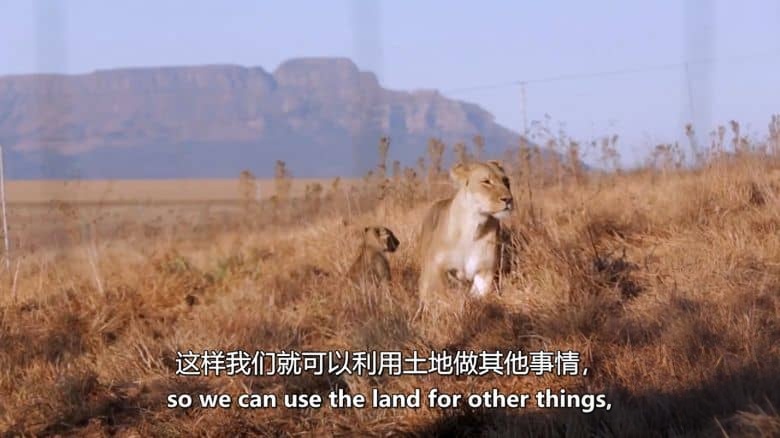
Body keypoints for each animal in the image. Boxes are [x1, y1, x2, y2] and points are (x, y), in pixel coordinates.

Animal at [417, 160, 514, 311]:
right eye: (486, 181)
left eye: (506, 181)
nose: (508, 199)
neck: (474, 224)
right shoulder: (435, 265)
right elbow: (439, 293)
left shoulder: (485, 270)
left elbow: (478, 295)